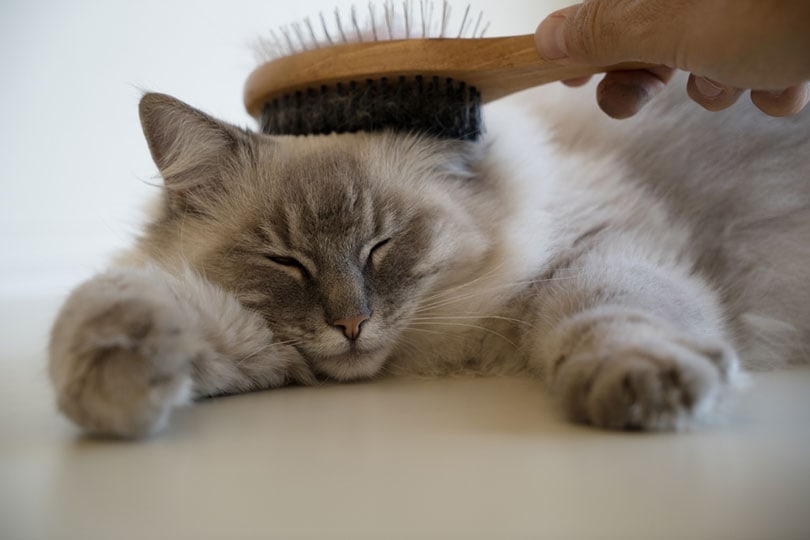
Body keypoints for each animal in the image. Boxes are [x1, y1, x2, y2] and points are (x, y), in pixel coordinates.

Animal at [49, 77, 808, 438]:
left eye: (381, 245)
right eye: (286, 262)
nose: (351, 326)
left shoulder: (600, 246)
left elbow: (612, 312)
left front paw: (640, 389)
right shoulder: (258, 335)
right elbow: (144, 306)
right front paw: (111, 381)